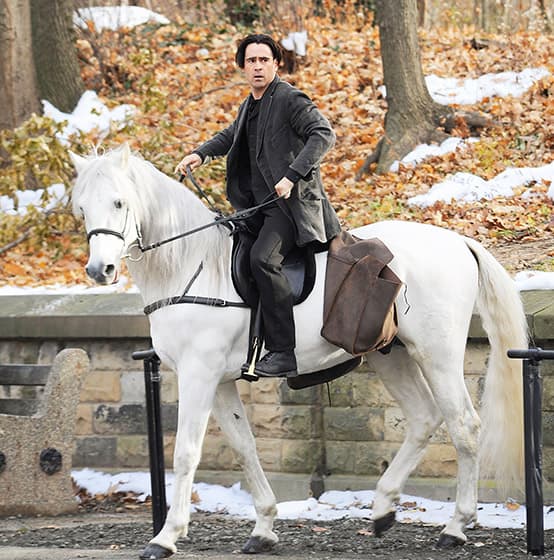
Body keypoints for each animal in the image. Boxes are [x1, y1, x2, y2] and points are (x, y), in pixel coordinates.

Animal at [70, 144, 528, 559]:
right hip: (391, 355)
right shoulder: (219, 383)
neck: (193, 266)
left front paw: (166, 537)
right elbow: (245, 447)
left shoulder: (198, 376)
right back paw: (383, 508)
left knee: (464, 426)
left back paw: (455, 526)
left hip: (437, 356)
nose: (99, 271)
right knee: (423, 418)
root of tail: (459, 242)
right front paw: (263, 527)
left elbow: (185, 452)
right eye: (82, 209)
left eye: (119, 202)